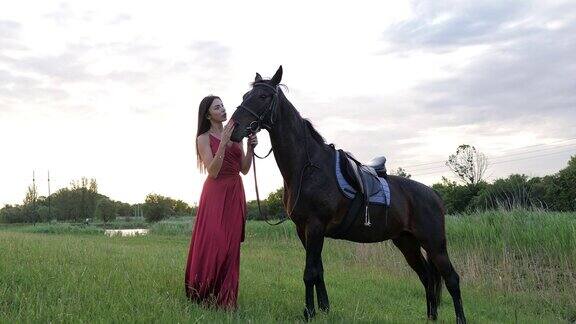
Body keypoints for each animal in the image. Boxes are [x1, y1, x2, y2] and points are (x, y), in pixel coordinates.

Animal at [231, 66, 468, 324]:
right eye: (244, 96)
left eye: (263, 96)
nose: (233, 128)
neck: (308, 168)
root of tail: (434, 195)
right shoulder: (304, 229)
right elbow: (318, 270)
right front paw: (323, 308)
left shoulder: (315, 226)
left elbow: (309, 272)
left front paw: (309, 312)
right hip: (407, 242)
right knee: (426, 276)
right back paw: (431, 316)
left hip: (435, 244)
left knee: (451, 279)